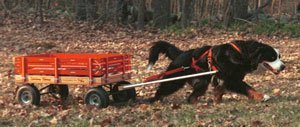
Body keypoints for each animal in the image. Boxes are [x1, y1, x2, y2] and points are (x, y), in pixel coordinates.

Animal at [146, 40, 284, 103]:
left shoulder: (229, 78)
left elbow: (221, 89)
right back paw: (155, 101)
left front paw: (217, 99)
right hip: (174, 81)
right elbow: (248, 88)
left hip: (201, 83)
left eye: (279, 56)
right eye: (272, 57)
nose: (283, 66)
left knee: (191, 97)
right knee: (161, 91)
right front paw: (262, 96)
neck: (242, 54)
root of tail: (181, 54)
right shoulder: (233, 79)